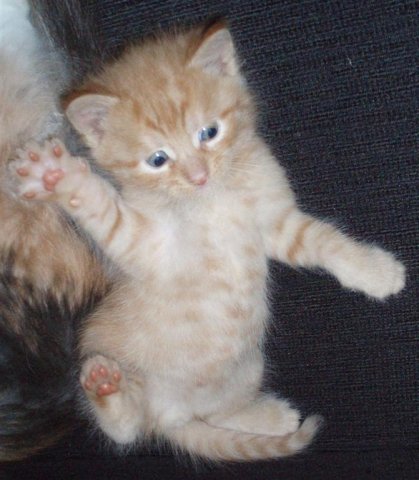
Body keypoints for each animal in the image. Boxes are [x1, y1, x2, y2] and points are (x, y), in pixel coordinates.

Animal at [8, 20, 406, 462]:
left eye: (209, 133)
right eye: (157, 159)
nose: (198, 176)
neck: (210, 200)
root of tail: (171, 416)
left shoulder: (274, 223)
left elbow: (323, 240)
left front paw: (375, 272)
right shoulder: (143, 241)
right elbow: (101, 206)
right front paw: (57, 176)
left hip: (247, 368)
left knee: (216, 413)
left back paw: (268, 417)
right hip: (118, 366)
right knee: (126, 430)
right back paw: (106, 389)